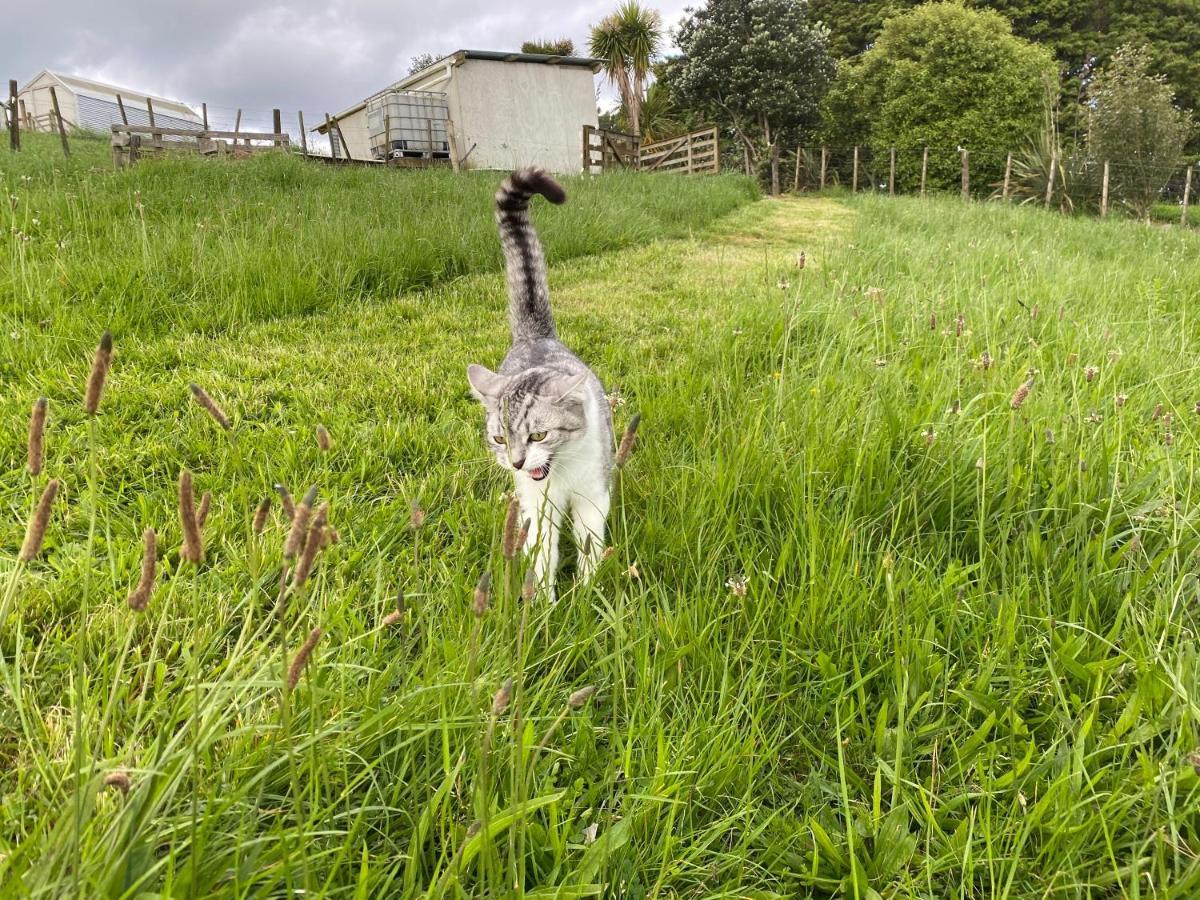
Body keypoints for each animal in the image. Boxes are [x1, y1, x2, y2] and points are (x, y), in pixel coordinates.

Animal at [468, 169, 614, 600]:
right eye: (500, 439)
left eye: (539, 435)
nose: (516, 461)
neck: (560, 475)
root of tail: (535, 336)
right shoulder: (536, 507)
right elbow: (542, 553)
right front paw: (543, 603)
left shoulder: (593, 497)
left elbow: (589, 544)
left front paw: (586, 593)